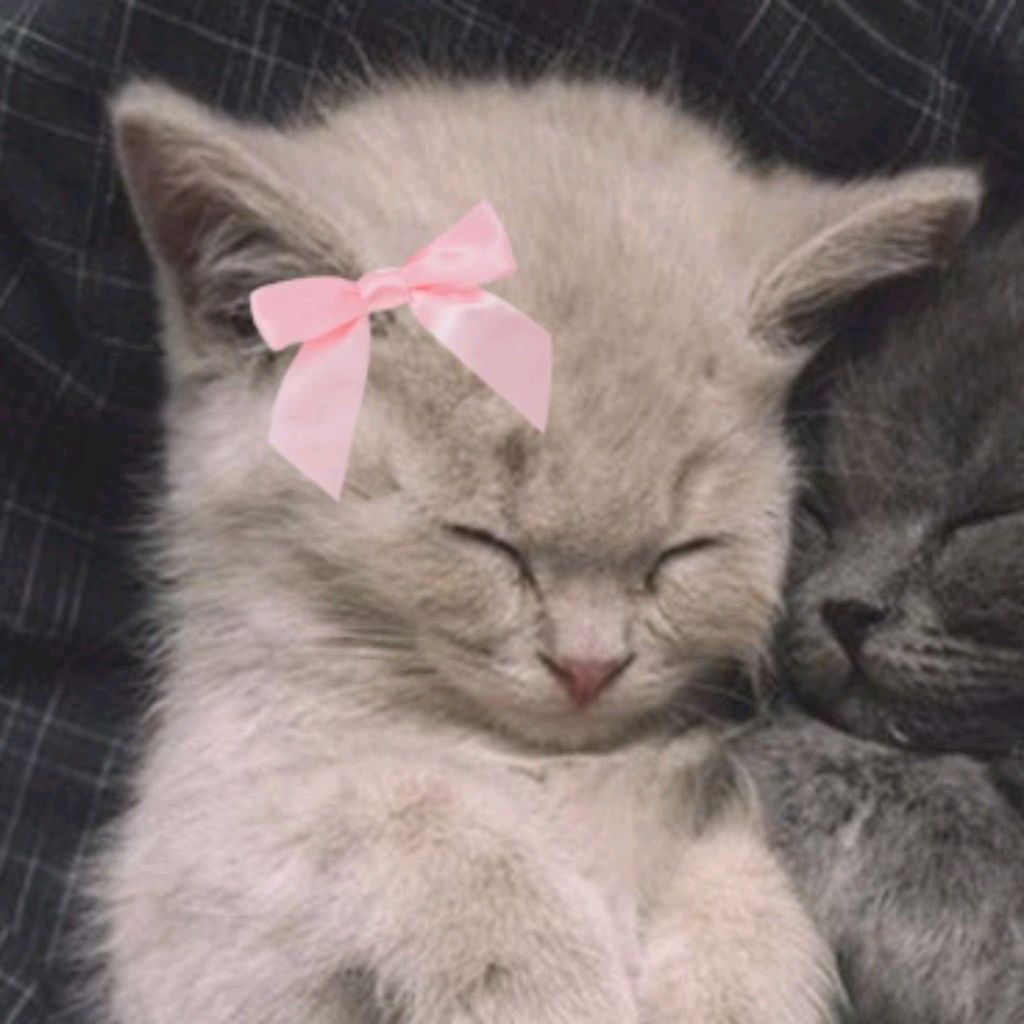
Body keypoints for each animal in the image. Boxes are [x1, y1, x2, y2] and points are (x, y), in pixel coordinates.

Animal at [82, 75, 979, 1024]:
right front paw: (541, 973)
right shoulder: (191, 883)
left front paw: (732, 984)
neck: (559, 763)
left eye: (682, 554)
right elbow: (394, 798)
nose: (588, 667)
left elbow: (756, 851)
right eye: (485, 542)